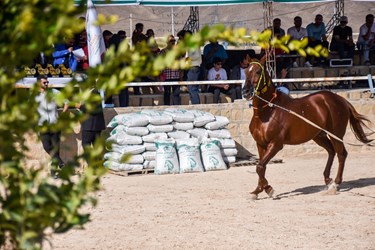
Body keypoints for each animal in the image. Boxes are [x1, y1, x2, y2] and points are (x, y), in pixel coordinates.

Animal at [242, 55, 374, 200]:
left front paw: (269, 190)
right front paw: (258, 190)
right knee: (331, 151)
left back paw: (335, 184)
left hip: (336, 134)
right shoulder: (261, 144)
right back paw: (328, 180)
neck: (268, 111)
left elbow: (260, 167)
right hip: (319, 136)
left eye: (258, 72)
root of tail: (340, 99)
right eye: (246, 71)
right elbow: (261, 166)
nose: (246, 92)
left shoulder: (276, 144)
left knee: (341, 154)